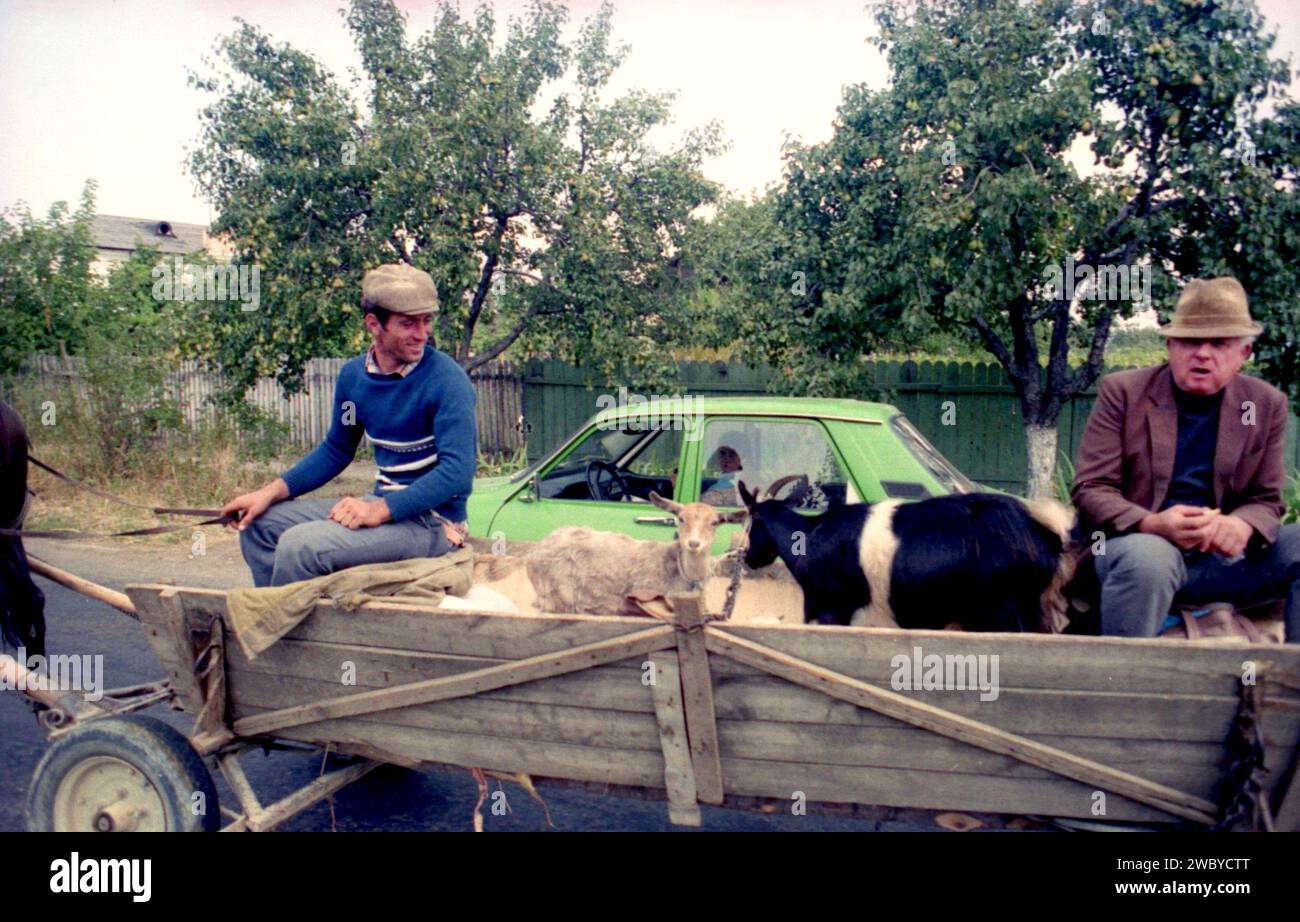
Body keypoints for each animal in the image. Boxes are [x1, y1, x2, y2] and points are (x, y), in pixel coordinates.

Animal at [738, 475, 1081, 632]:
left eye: (751, 522)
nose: (748, 558)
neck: (809, 536)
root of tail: (1045, 534)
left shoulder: (827, 609)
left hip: (1006, 611)